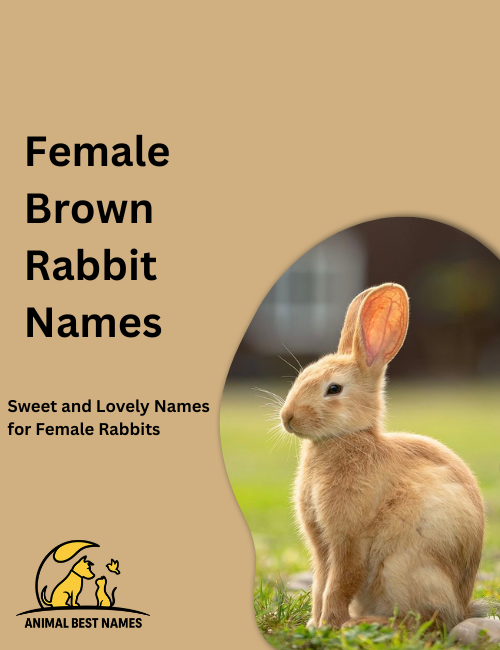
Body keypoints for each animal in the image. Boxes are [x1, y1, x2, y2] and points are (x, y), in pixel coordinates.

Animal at [279, 283, 485, 630]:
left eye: (333, 389)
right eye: (303, 375)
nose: (287, 418)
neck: (345, 437)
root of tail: (462, 607)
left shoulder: (349, 537)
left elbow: (340, 581)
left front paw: (330, 625)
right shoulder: (320, 542)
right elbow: (321, 580)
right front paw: (315, 625)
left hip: (401, 567)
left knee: (425, 619)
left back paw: (361, 624)